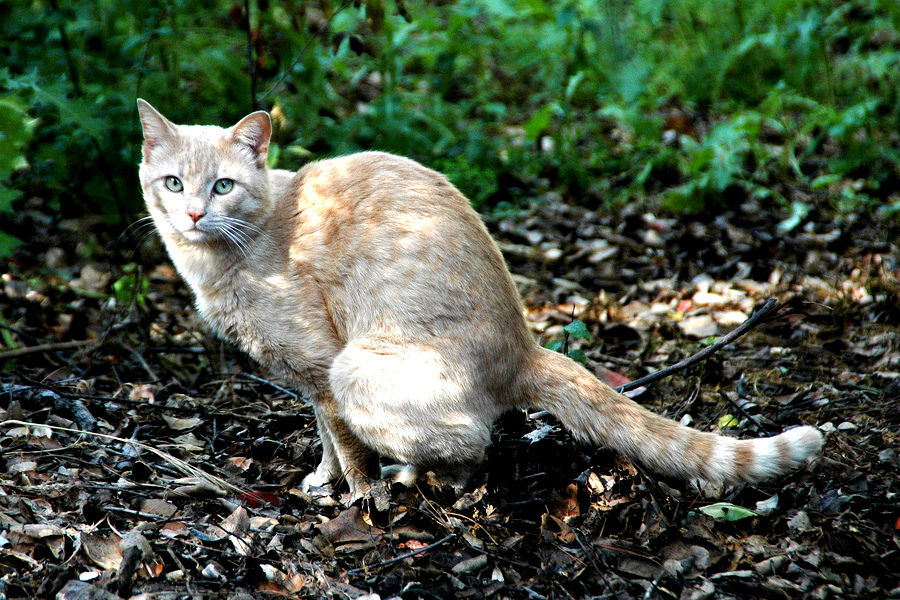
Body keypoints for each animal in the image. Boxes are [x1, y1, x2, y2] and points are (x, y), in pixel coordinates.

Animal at [135, 101, 824, 500]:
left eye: (223, 186)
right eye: (173, 183)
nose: (193, 214)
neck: (231, 255)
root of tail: (525, 348)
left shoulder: (323, 367)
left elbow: (348, 448)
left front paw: (358, 501)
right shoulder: (307, 380)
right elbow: (327, 439)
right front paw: (322, 480)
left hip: (360, 369)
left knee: (475, 444)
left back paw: (420, 480)